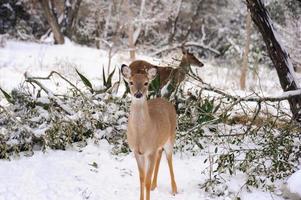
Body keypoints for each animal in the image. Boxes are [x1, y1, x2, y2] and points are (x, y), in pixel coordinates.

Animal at [121, 64, 178, 200]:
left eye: (146, 83)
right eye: (131, 82)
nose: (138, 93)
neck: (141, 135)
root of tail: (165, 100)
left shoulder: (150, 151)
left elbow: (146, 180)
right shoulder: (137, 152)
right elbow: (141, 179)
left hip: (171, 137)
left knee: (169, 159)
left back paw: (174, 190)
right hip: (158, 144)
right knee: (160, 154)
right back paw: (154, 185)